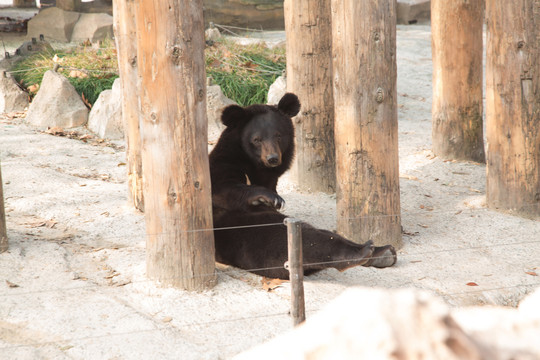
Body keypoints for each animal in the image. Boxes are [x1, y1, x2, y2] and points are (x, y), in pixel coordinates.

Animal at [211, 93, 396, 282]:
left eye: (278, 135)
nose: (272, 158)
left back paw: (382, 252)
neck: (256, 167)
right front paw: (271, 198)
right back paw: (363, 252)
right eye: (257, 139)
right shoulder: (225, 164)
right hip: (244, 234)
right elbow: (222, 187)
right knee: (298, 240)